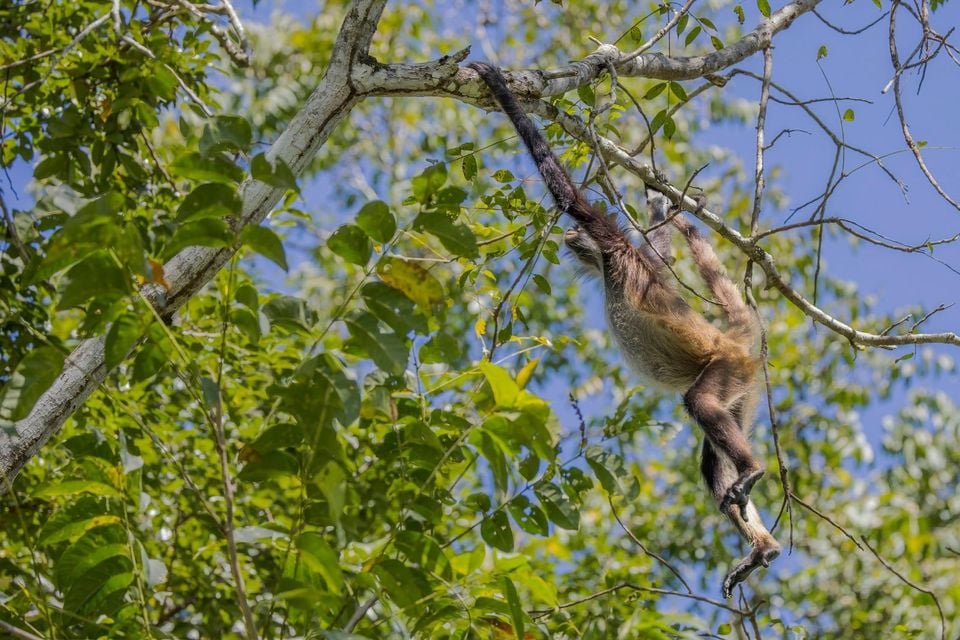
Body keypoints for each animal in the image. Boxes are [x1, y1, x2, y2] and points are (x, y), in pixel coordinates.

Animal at [468, 61, 780, 598]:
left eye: (576, 232)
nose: (568, 236)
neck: (606, 271)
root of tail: (733, 341)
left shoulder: (614, 245)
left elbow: (570, 194)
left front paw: (498, 86)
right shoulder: (636, 257)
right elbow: (661, 250)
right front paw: (656, 202)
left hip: (725, 368)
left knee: (699, 403)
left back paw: (753, 470)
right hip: (743, 393)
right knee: (711, 460)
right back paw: (762, 548)